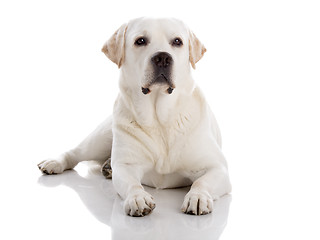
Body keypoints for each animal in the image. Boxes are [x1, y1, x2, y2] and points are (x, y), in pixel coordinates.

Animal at [38, 17, 232, 217]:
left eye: (177, 41)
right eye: (140, 41)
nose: (163, 58)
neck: (159, 119)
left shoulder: (217, 167)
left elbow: (201, 181)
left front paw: (197, 197)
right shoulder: (126, 167)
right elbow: (132, 184)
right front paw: (138, 198)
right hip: (101, 137)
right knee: (75, 152)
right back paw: (55, 163)